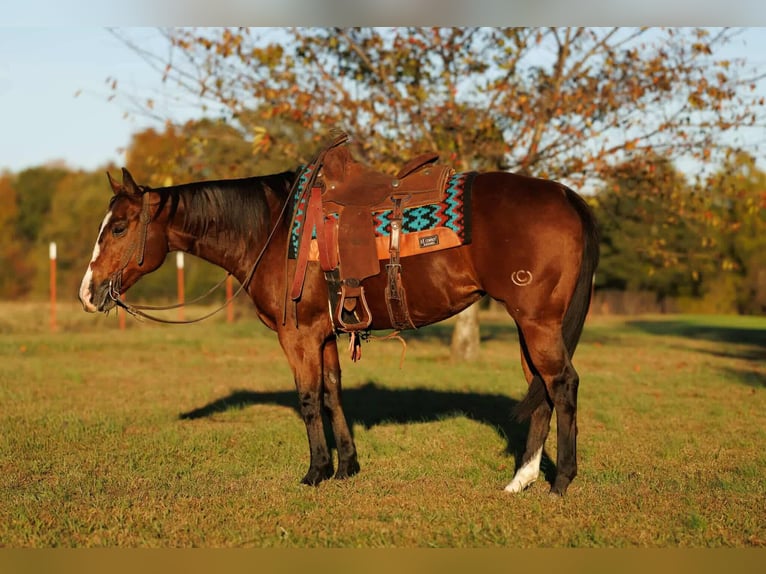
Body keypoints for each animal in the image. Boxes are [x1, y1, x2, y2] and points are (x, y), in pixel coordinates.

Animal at [78, 153, 599, 496]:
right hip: (529, 326)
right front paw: (346, 466)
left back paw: (560, 482)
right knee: (541, 389)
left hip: (537, 322)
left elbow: (309, 399)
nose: (87, 292)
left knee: (564, 384)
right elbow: (332, 393)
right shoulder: (325, 334)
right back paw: (520, 480)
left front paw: (315, 472)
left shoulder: (298, 336)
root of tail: (565, 194)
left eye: (119, 227)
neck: (269, 229)